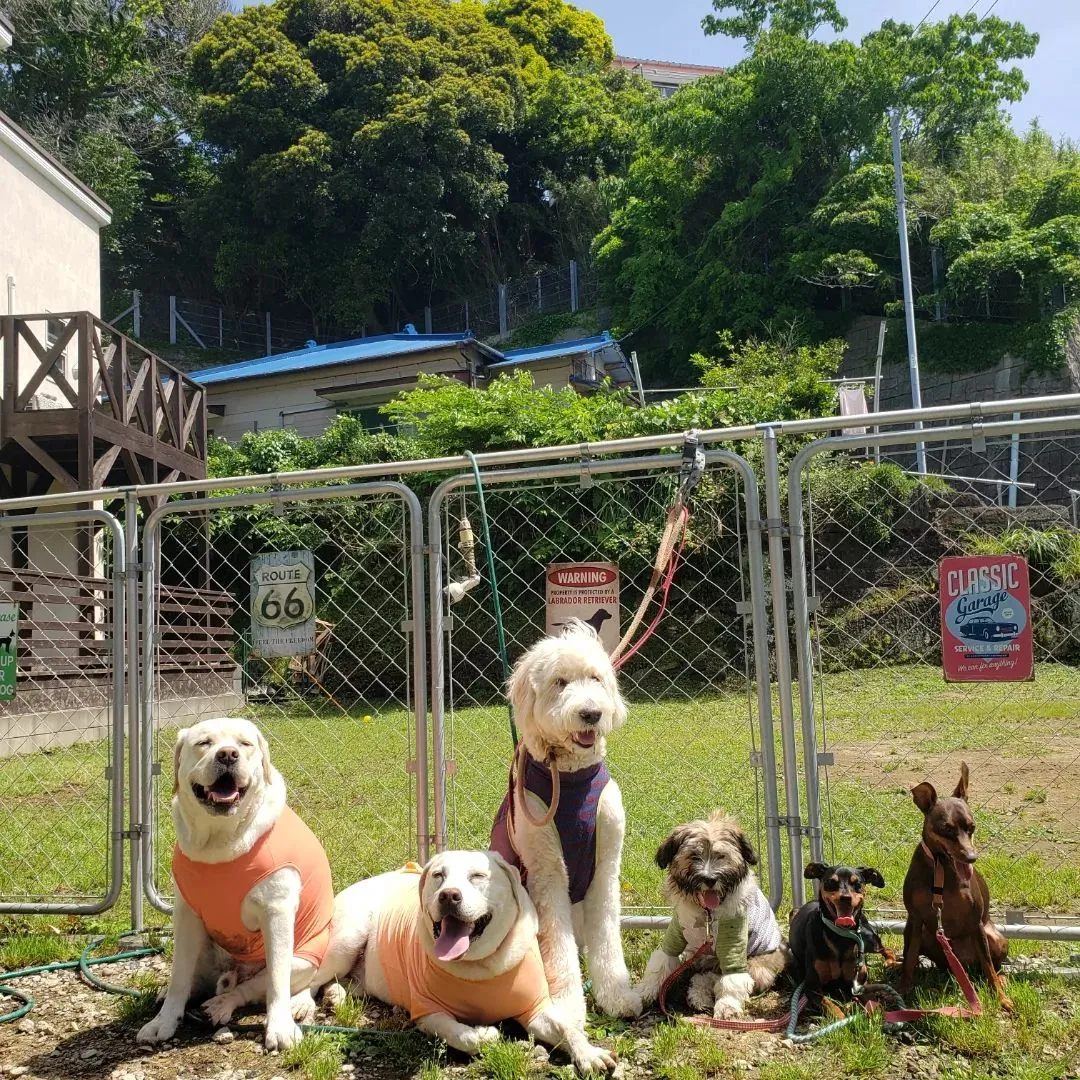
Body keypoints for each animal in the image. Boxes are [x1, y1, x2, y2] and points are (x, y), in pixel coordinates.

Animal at [490, 622, 639, 1023]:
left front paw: (617, 995)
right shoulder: (548, 875)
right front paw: (568, 1007)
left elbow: (608, 938)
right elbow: (557, 949)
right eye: (560, 682)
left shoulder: (606, 870)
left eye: (595, 678)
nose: (590, 713)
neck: (571, 777)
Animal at [635, 812, 790, 1015]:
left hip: (758, 966)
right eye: (694, 856)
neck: (707, 914)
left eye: (721, 856)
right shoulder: (676, 933)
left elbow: (731, 979)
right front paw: (643, 992)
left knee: (712, 976)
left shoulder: (733, 943)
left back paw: (699, 995)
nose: (710, 879)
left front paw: (727, 1007)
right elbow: (660, 963)